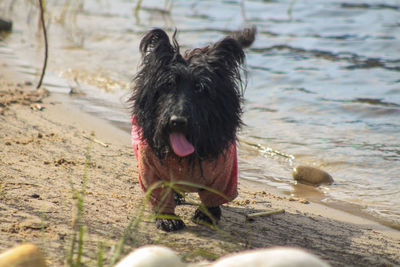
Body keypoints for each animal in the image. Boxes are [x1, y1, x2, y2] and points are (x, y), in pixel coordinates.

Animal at [130, 27, 256, 232]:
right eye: (168, 85)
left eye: (200, 88)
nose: (177, 122)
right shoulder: (150, 169)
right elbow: (159, 192)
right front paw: (167, 218)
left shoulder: (225, 174)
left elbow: (214, 195)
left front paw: (206, 214)